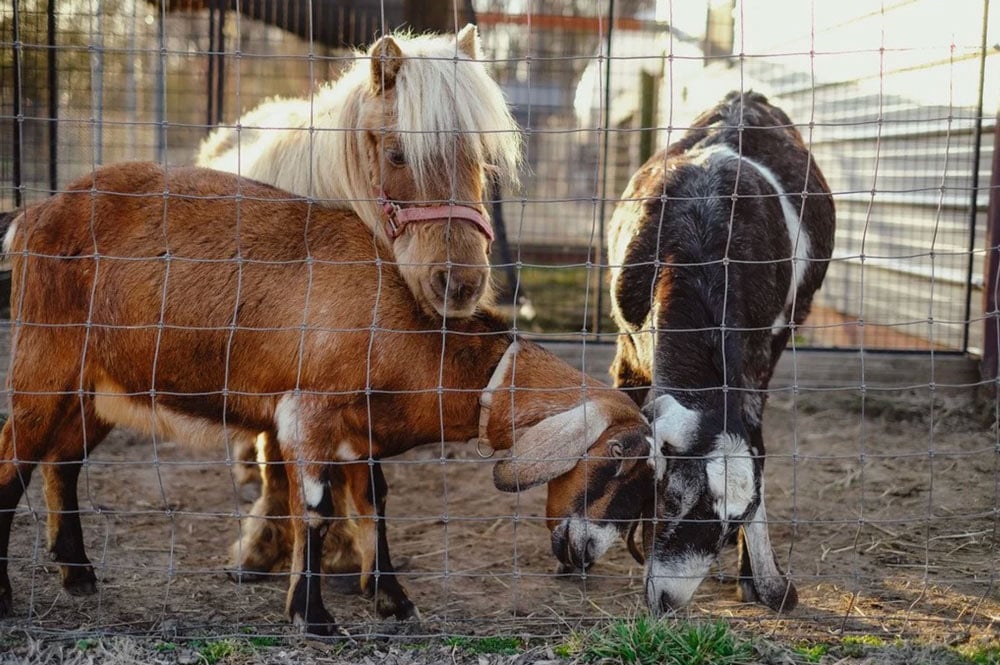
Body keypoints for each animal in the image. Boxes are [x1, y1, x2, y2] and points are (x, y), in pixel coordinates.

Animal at [607, 91, 835, 613]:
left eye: (730, 527)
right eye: (672, 498)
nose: (668, 600)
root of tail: (745, 97)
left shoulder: (757, 359)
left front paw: (758, 580)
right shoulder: (628, 347)